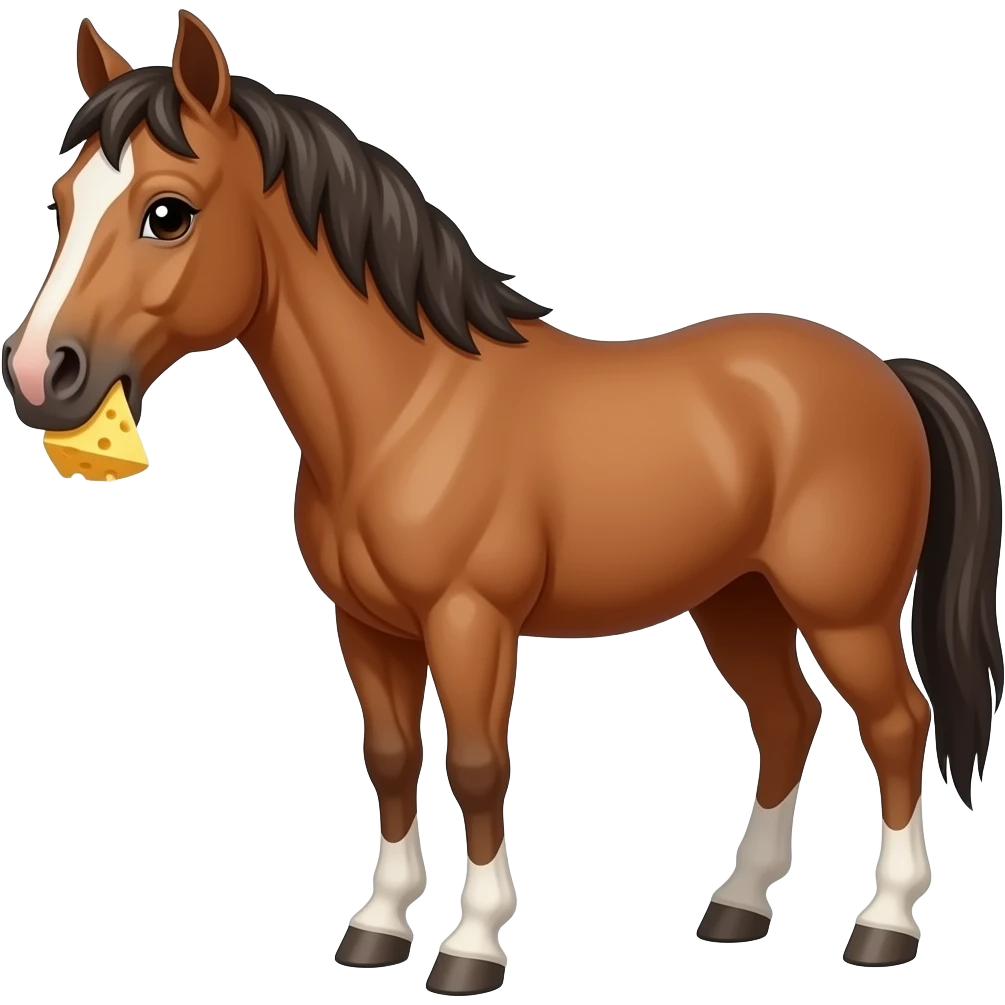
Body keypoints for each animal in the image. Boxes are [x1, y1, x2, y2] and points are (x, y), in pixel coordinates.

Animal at [3, 12, 1002, 988]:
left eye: (167, 213)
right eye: (63, 199)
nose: (40, 374)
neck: (409, 408)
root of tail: (885, 372)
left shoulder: (470, 619)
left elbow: (479, 765)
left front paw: (471, 944)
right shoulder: (367, 627)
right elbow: (392, 760)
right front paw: (377, 927)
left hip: (843, 611)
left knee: (897, 724)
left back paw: (884, 924)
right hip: (738, 601)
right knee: (787, 719)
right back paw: (736, 907)